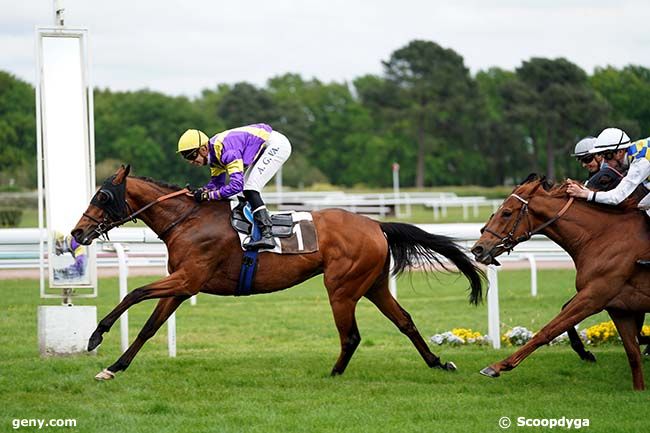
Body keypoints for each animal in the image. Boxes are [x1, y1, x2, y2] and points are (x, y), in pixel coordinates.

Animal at [73, 165, 484, 378]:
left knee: (351, 335)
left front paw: (95, 336)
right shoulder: (182, 286)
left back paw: (334, 374)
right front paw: (114, 366)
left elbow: (134, 293)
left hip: (342, 287)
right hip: (374, 285)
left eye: (102, 197)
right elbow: (149, 327)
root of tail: (376, 224)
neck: (188, 220)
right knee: (405, 321)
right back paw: (437, 362)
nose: (77, 233)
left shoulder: (188, 279)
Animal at [468, 174, 648, 390]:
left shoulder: (594, 296)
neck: (603, 237)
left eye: (506, 212)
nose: (478, 249)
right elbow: (633, 355)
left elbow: (548, 330)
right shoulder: (619, 307)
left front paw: (497, 366)